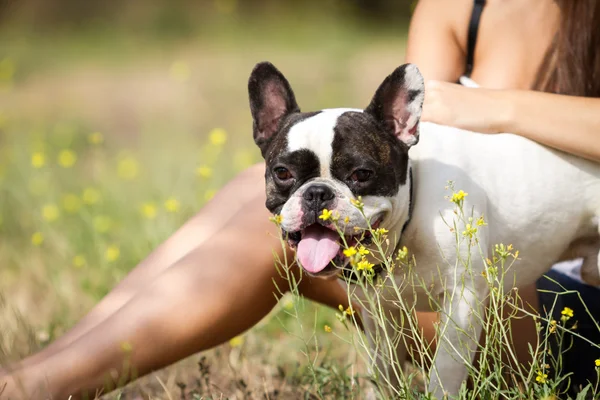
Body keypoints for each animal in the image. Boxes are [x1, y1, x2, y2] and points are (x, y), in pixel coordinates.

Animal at [246, 61, 596, 396]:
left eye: (362, 174)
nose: (318, 193)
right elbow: (385, 371)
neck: (406, 225)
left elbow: (445, 372)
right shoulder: (380, 313)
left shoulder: (463, 300)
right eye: (282, 172)